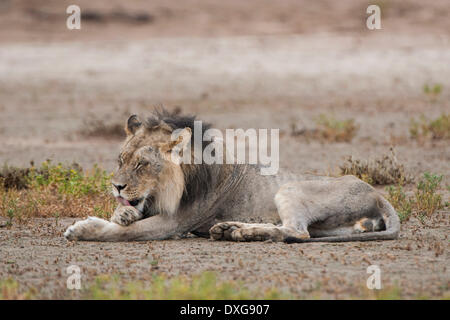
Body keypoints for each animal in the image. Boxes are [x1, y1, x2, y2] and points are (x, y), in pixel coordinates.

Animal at [62, 109, 398, 241]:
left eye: (142, 165)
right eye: (121, 160)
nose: (116, 187)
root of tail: (378, 194)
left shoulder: (175, 222)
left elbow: (124, 232)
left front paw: (83, 229)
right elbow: (126, 218)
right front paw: (122, 213)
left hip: (289, 189)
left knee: (297, 231)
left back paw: (242, 233)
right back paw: (230, 229)